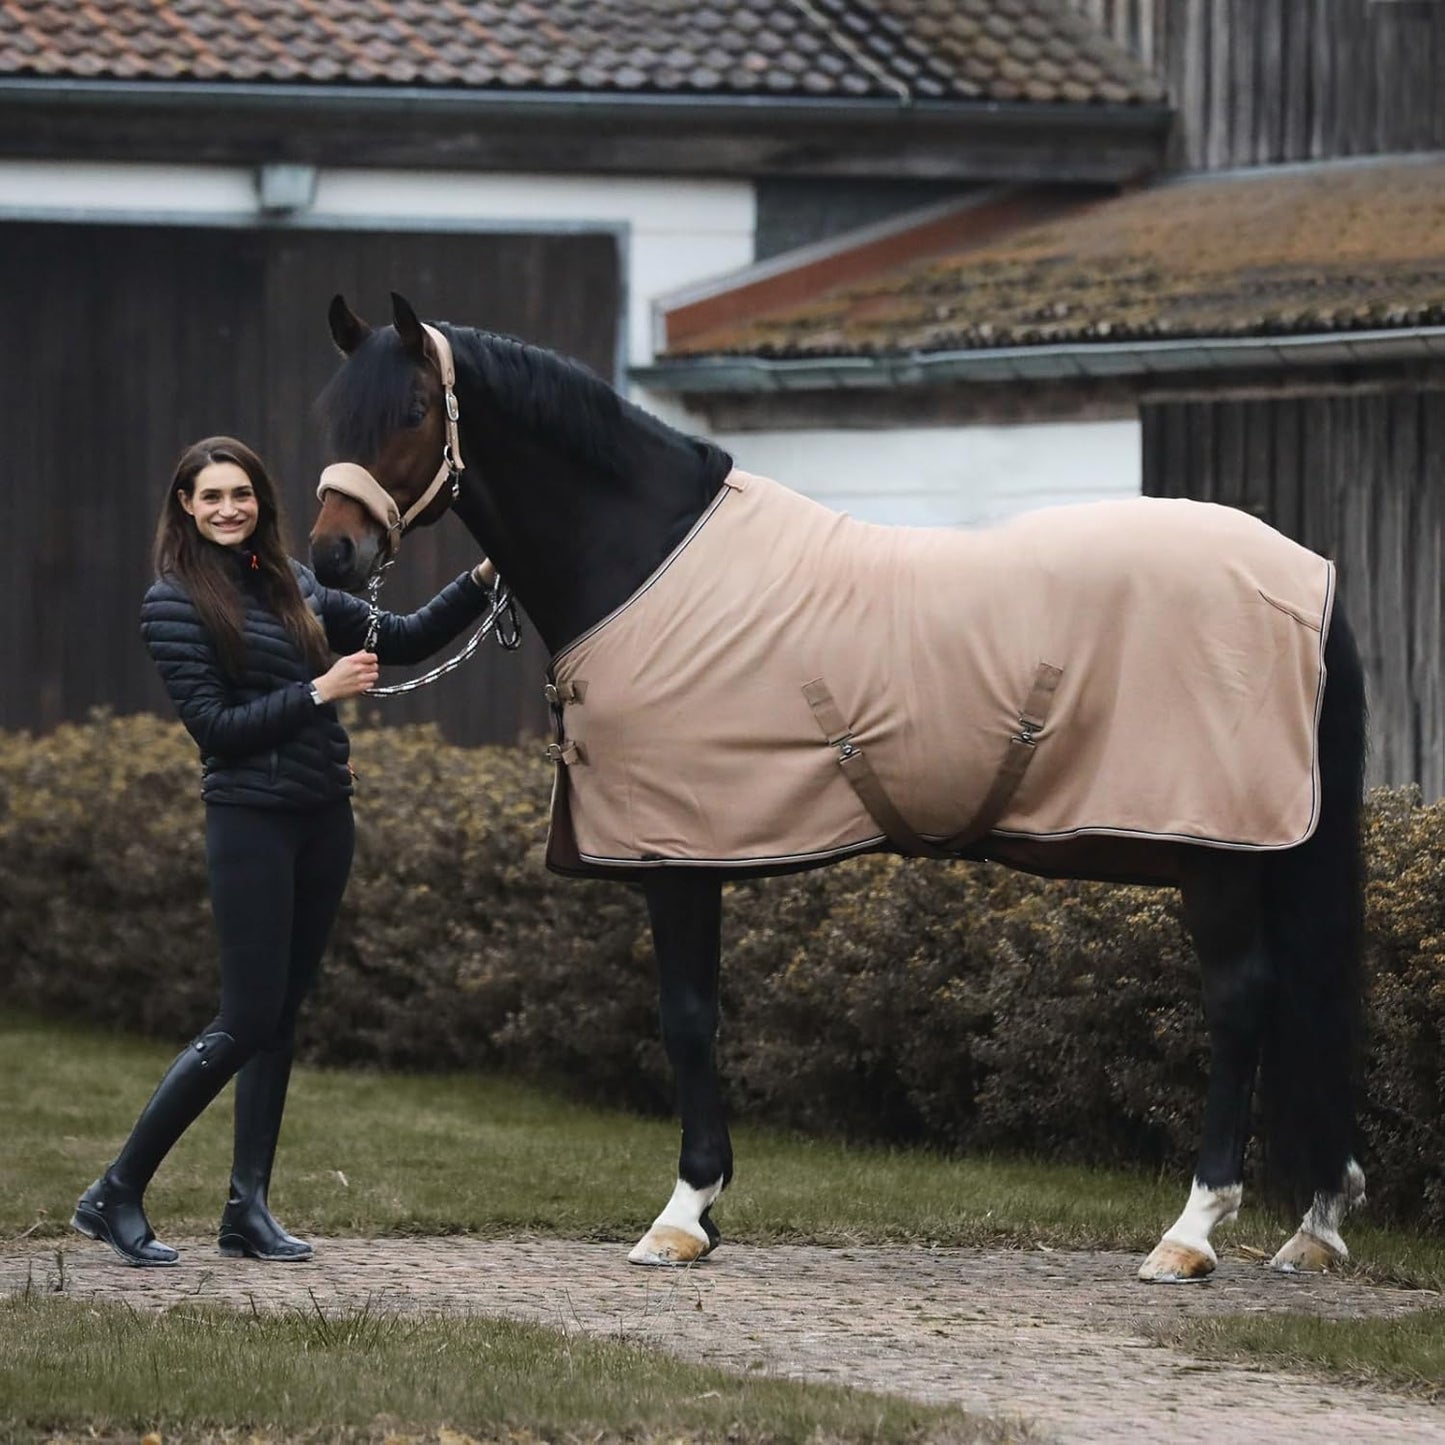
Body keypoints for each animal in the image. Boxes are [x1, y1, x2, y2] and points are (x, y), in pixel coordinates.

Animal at [309, 292, 1367, 1284]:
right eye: (334, 407)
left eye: (412, 409)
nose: (331, 557)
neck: (647, 560)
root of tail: (1307, 576)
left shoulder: (677, 854)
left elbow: (687, 1017)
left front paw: (683, 1214)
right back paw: (1312, 1224)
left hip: (1214, 849)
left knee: (1240, 999)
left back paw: (1191, 1231)